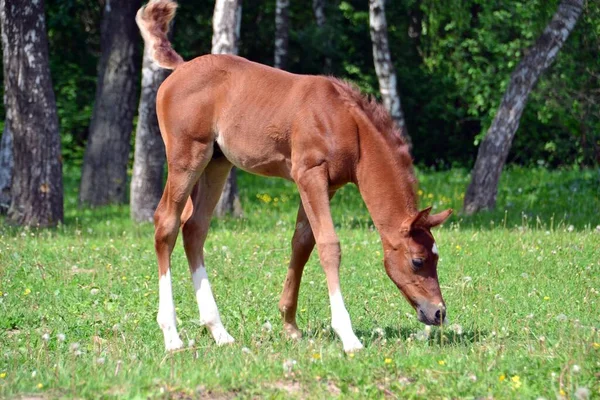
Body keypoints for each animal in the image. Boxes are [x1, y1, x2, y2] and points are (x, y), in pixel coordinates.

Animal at [138, 0, 452, 354]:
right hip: (186, 159)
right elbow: (329, 246)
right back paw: (172, 335)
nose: (438, 312)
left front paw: (290, 324)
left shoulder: (325, 185)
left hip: (217, 165)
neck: (346, 125)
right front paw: (348, 335)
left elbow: (302, 243)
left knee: (194, 229)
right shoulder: (310, 175)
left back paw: (219, 331)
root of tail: (179, 69)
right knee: (166, 224)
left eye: (436, 258)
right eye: (417, 261)